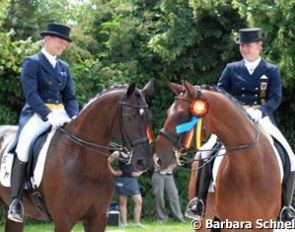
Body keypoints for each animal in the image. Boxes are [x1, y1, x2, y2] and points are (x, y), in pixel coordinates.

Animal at [0, 80, 155, 232]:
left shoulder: (97, 220)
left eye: (148, 117)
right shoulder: (63, 221)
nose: (143, 161)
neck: (86, 165)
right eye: (128, 117)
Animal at [155, 81, 282, 230]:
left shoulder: (265, 223)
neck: (249, 168)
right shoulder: (230, 223)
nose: (157, 159)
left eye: (180, 115)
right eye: (168, 112)